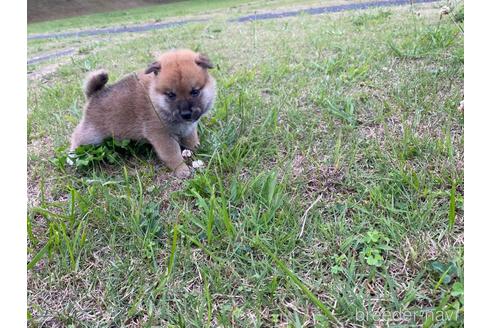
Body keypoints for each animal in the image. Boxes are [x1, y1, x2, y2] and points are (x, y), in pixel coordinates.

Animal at [70, 49, 215, 178]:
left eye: (195, 92)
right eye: (171, 95)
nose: (186, 114)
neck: (156, 100)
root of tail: (93, 96)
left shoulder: (188, 129)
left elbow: (192, 141)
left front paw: (199, 151)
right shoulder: (162, 136)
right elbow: (173, 154)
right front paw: (181, 170)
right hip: (91, 135)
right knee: (77, 137)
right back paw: (72, 156)